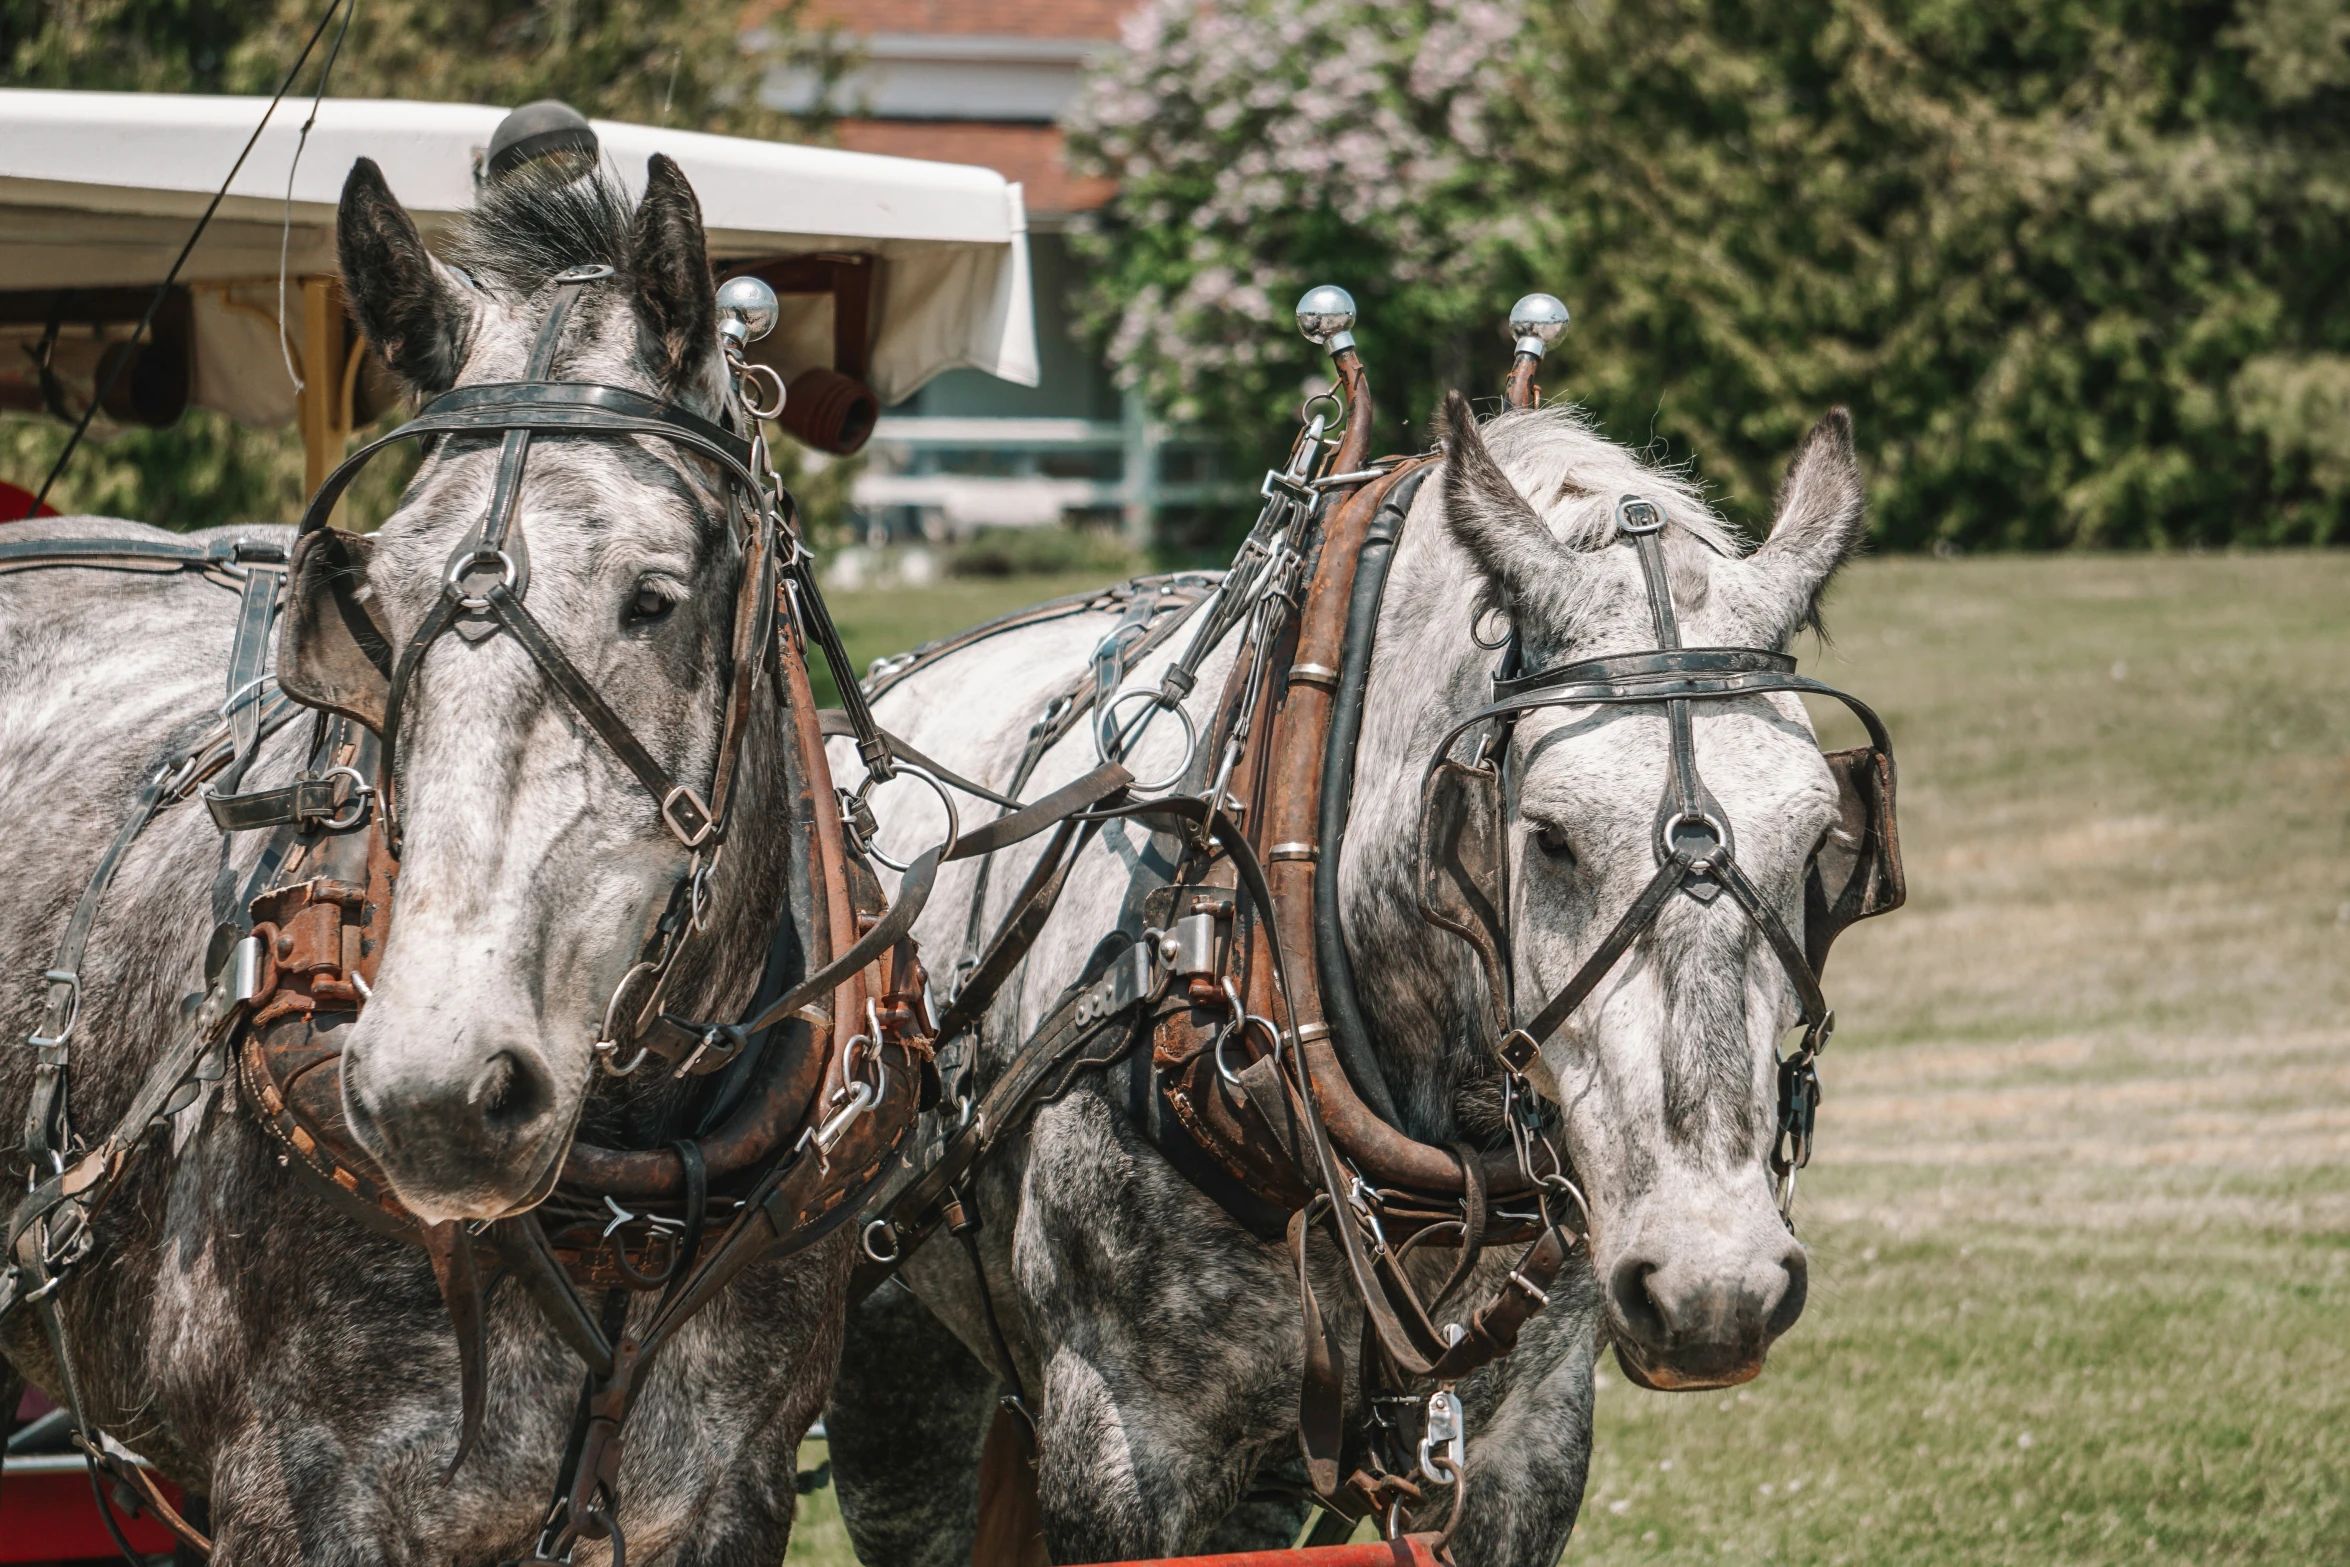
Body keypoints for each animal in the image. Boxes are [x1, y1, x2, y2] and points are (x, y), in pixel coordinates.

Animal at [0, 159, 845, 1567]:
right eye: (370, 603)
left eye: (656, 598)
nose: (432, 1095)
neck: (618, 1197)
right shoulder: (302, 1491)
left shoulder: (727, 1486)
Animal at [827, 392, 1870, 1567]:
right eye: (1549, 836)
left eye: (1823, 836)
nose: (1714, 1288)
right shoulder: (1119, 1444)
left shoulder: (1524, 1445)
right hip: (891, 1382)